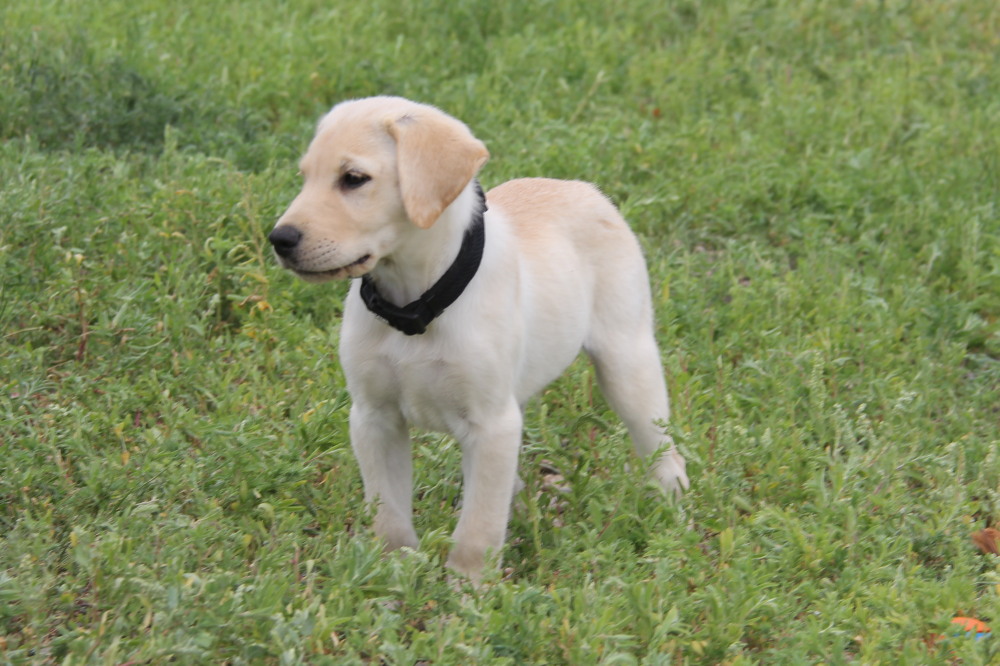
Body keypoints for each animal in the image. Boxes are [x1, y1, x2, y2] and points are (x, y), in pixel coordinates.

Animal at [268, 94, 688, 580]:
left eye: (353, 179)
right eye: (305, 177)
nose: (279, 239)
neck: (416, 305)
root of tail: (583, 188)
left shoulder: (490, 425)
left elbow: (477, 527)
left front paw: (468, 590)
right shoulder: (374, 418)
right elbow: (388, 511)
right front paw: (394, 576)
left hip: (627, 363)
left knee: (663, 450)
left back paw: (672, 515)